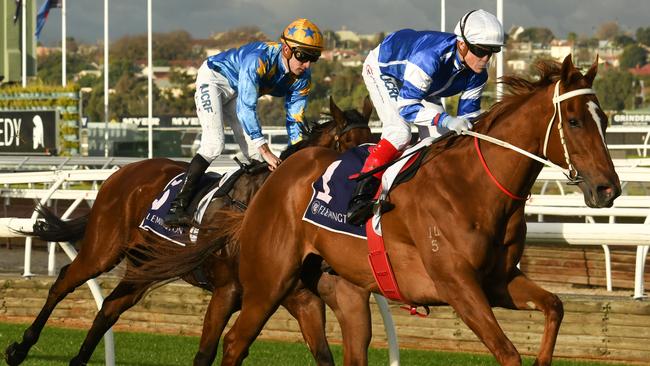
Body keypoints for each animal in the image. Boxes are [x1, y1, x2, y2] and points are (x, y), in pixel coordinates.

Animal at [1, 97, 370, 366]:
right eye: (351, 146)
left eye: (375, 143)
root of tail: (122, 173)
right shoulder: (227, 290)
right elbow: (205, 353)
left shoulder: (298, 296)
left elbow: (323, 355)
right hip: (102, 249)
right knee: (64, 282)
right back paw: (19, 348)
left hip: (145, 266)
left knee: (109, 308)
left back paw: (78, 360)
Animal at [209, 55, 616, 364]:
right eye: (574, 121)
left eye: (606, 120)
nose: (608, 188)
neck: (473, 187)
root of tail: (278, 172)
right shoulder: (457, 285)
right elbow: (507, 353)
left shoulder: (498, 280)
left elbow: (555, 306)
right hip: (268, 281)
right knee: (233, 342)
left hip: (342, 292)